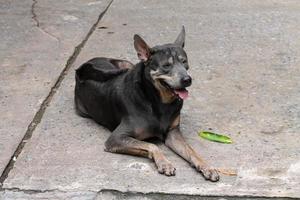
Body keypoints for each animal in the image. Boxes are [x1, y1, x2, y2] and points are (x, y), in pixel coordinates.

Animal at [74, 26, 220, 181]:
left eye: (184, 62)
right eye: (166, 66)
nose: (187, 79)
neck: (158, 100)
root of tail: (83, 66)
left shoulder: (173, 133)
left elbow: (191, 151)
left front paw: (206, 166)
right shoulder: (116, 138)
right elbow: (151, 145)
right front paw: (164, 163)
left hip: (128, 64)